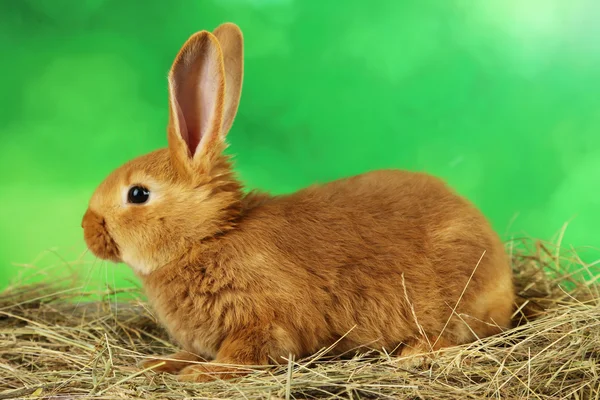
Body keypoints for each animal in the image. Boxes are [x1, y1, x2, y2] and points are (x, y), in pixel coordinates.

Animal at [82, 22, 516, 384]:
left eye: (138, 194)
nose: (87, 229)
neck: (208, 236)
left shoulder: (263, 322)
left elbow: (243, 355)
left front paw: (200, 375)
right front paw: (160, 363)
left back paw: (411, 354)